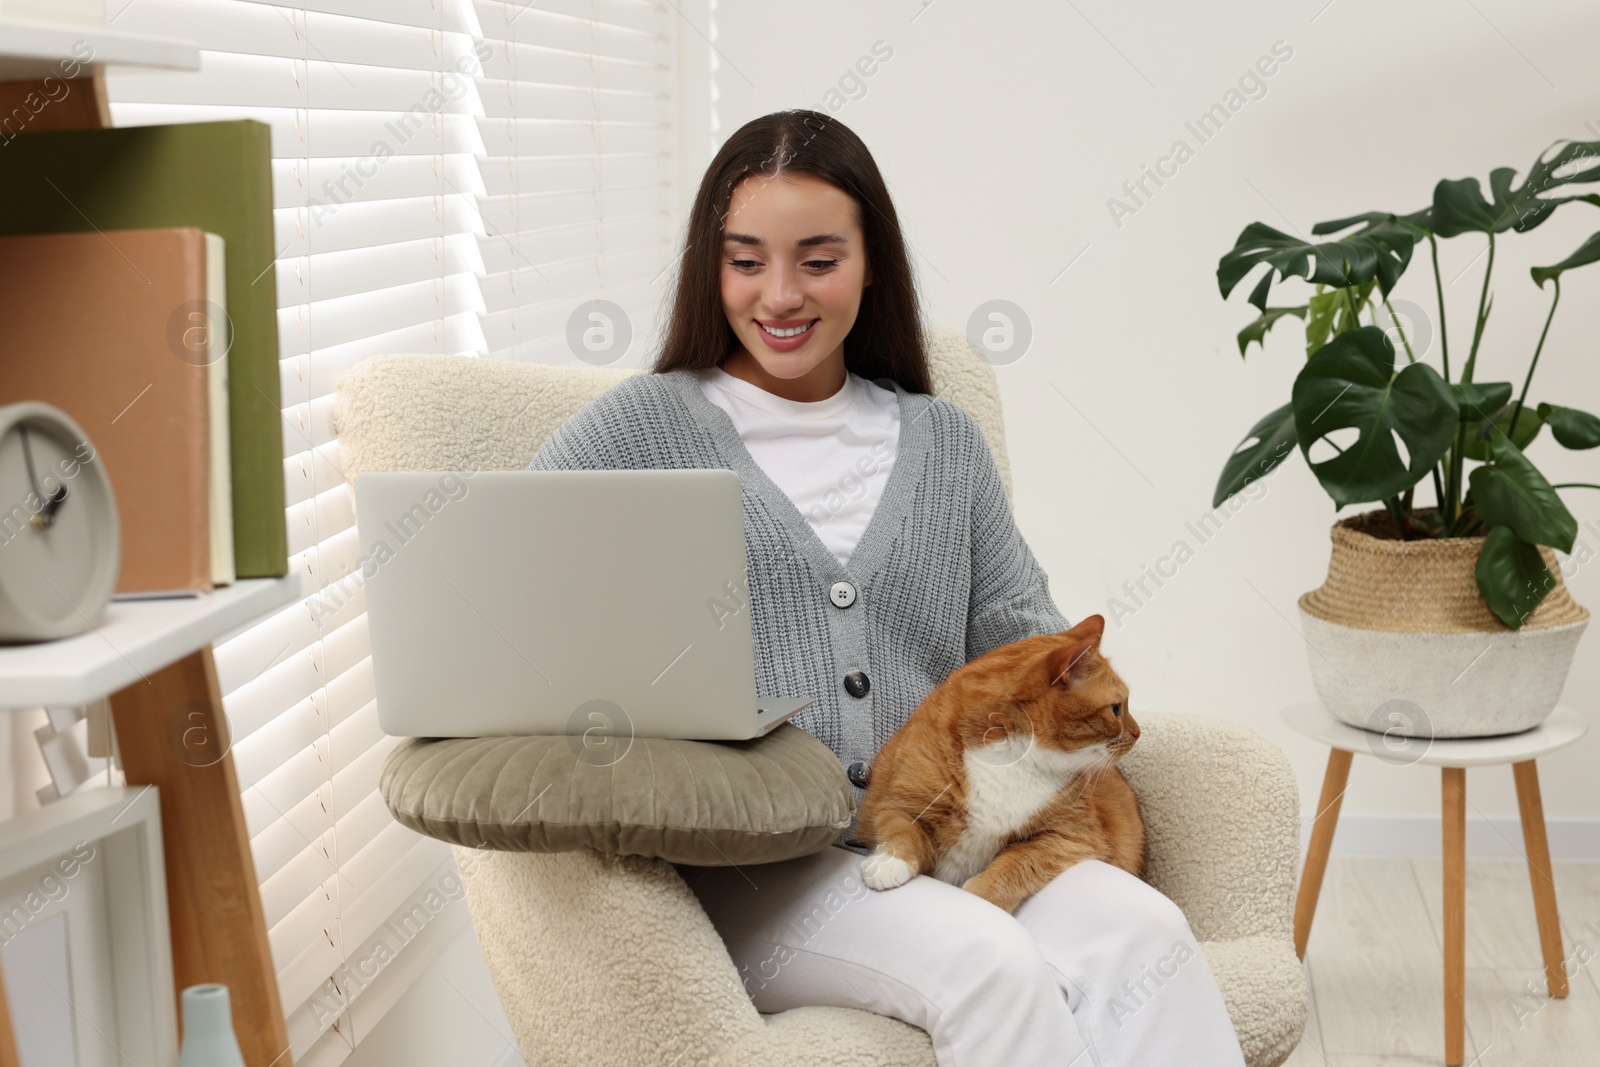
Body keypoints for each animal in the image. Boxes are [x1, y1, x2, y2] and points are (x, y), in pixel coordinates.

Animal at [857, 614, 1145, 915]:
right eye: (1116, 709)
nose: (1138, 732)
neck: (1012, 760)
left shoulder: (1071, 836)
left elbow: (1018, 864)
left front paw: (979, 897)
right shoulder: (900, 802)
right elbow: (903, 831)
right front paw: (889, 862)